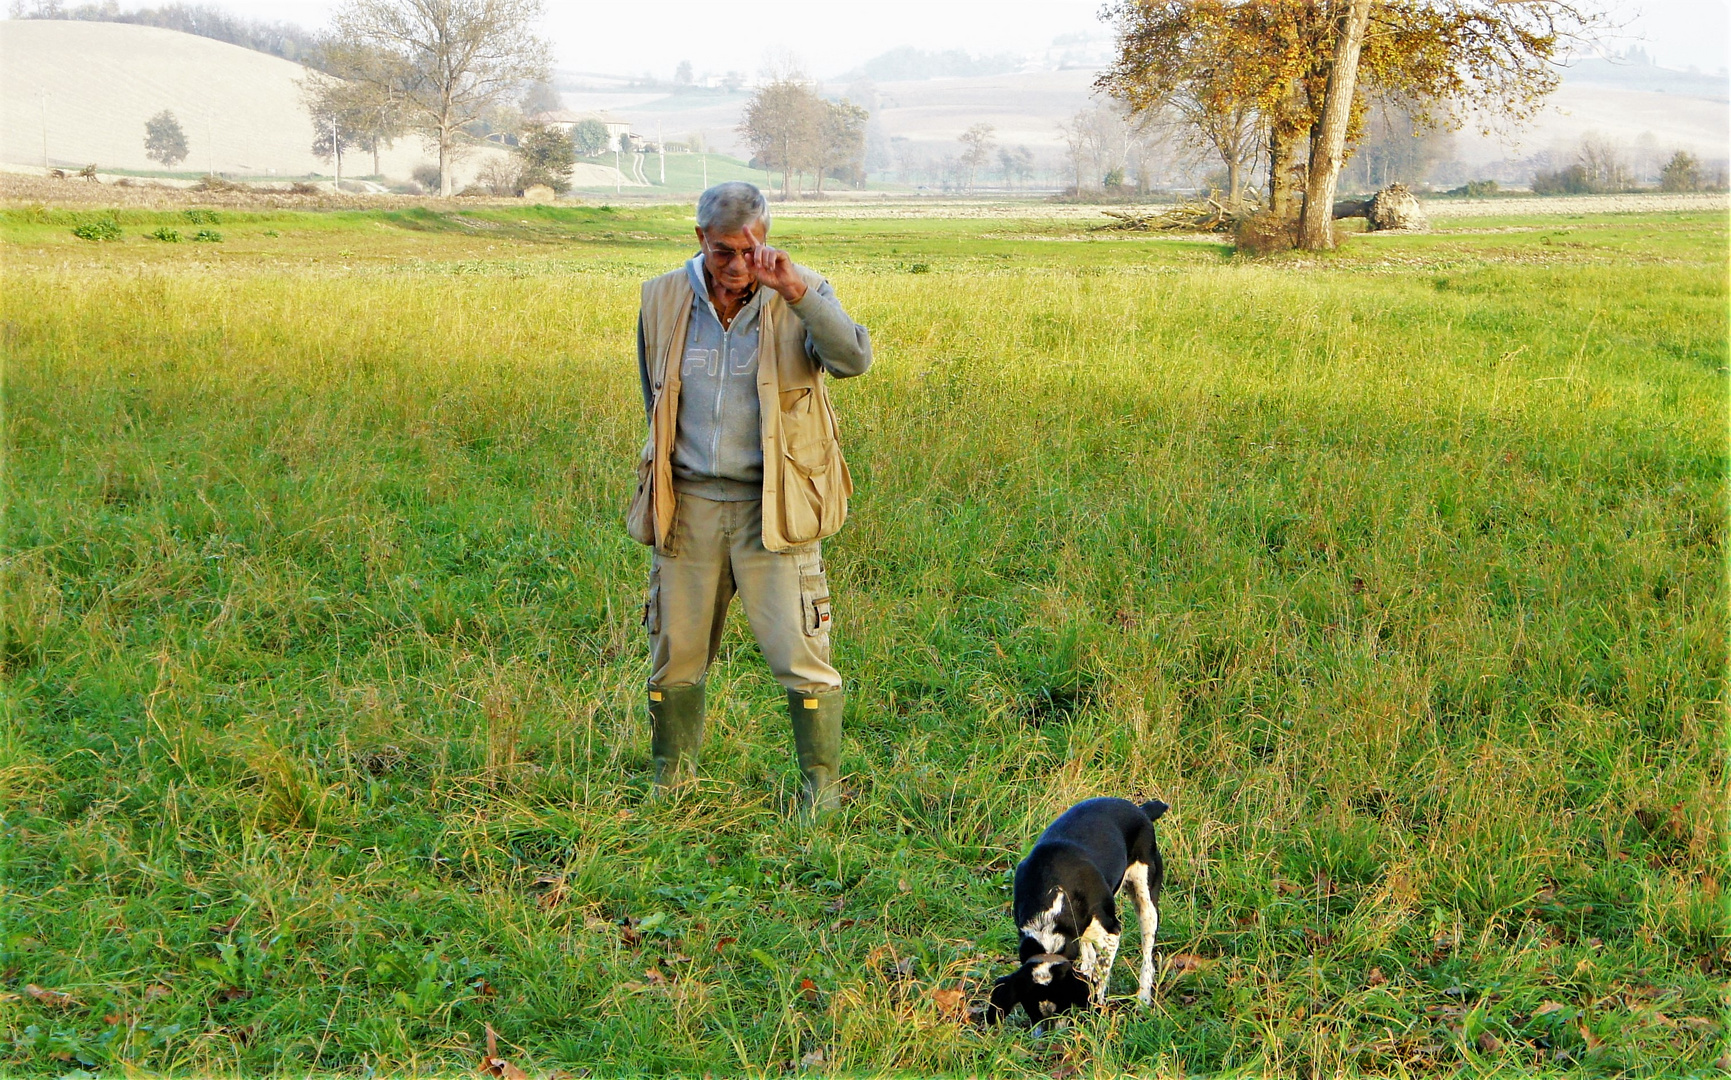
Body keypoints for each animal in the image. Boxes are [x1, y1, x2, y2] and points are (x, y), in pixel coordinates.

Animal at [983, 796, 1170, 1024]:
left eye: (1063, 1003)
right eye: (1031, 1010)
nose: (1051, 1033)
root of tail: (1142, 810)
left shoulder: (1111, 931)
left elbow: (1099, 978)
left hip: (1146, 901)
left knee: (1147, 958)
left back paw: (1143, 1001)